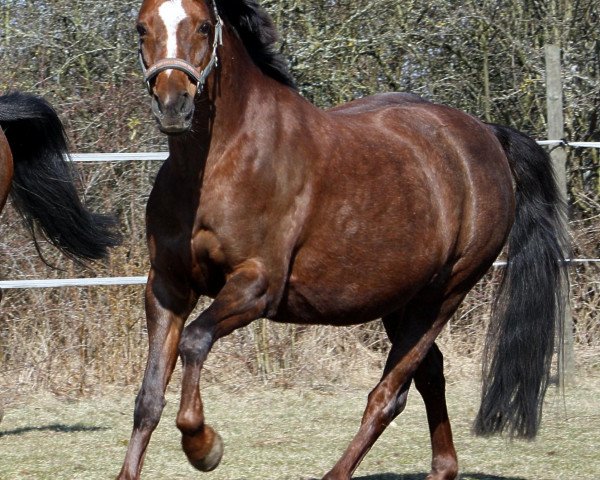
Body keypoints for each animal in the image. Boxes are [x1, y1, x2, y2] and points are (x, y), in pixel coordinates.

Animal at [119, 1, 568, 478]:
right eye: (141, 28)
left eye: (204, 27)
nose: (173, 105)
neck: (219, 164)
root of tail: (486, 135)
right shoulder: (167, 288)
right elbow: (149, 398)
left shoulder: (256, 287)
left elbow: (195, 341)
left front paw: (203, 446)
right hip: (400, 299)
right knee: (430, 373)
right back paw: (443, 468)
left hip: (444, 294)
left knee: (389, 394)